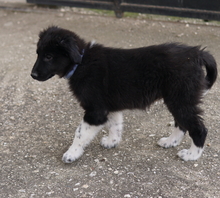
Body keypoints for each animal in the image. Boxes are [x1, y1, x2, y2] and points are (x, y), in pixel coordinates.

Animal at [30, 25, 217, 162]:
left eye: (48, 56)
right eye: (38, 54)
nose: (32, 75)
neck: (81, 61)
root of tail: (196, 53)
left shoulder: (95, 111)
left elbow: (80, 133)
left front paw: (72, 153)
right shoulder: (108, 107)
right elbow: (115, 125)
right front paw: (112, 142)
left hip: (180, 99)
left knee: (198, 128)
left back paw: (192, 155)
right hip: (178, 99)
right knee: (182, 124)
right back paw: (170, 142)